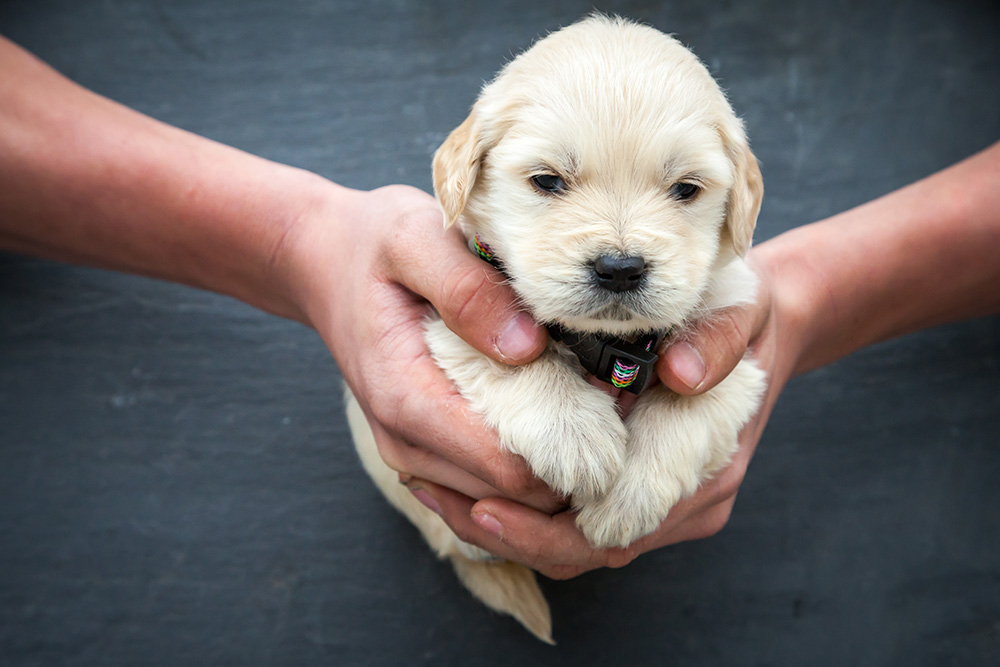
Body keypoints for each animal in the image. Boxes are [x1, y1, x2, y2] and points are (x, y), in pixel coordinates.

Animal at [344, 14, 764, 640]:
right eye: (547, 181)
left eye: (686, 189)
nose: (620, 268)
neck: (607, 344)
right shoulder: (447, 319)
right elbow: (513, 355)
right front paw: (576, 435)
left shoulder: (737, 360)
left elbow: (688, 404)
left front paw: (625, 499)